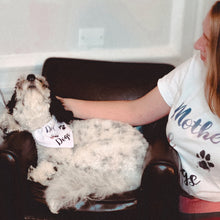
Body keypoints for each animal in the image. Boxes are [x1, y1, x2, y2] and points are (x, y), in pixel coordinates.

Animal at [0, 73, 150, 213]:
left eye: (43, 82)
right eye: (18, 84)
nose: (31, 76)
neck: (43, 127)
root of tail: (134, 176)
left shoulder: (65, 158)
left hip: (86, 153)